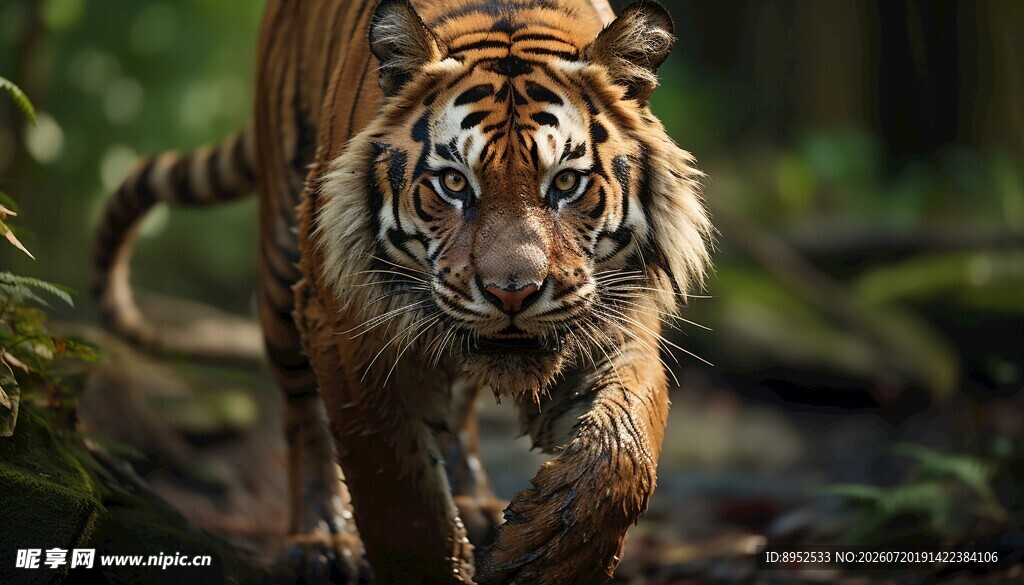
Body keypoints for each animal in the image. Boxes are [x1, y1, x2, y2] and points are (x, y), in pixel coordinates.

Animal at [92, 0, 713, 583]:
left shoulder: (615, 312)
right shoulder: (344, 322)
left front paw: (545, 555)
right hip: (282, 260)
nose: (512, 294)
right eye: (454, 182)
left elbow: (623, 447)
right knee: (301, 412)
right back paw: (321, 541)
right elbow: (396, 489)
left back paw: (473, 503)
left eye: (565, 182)